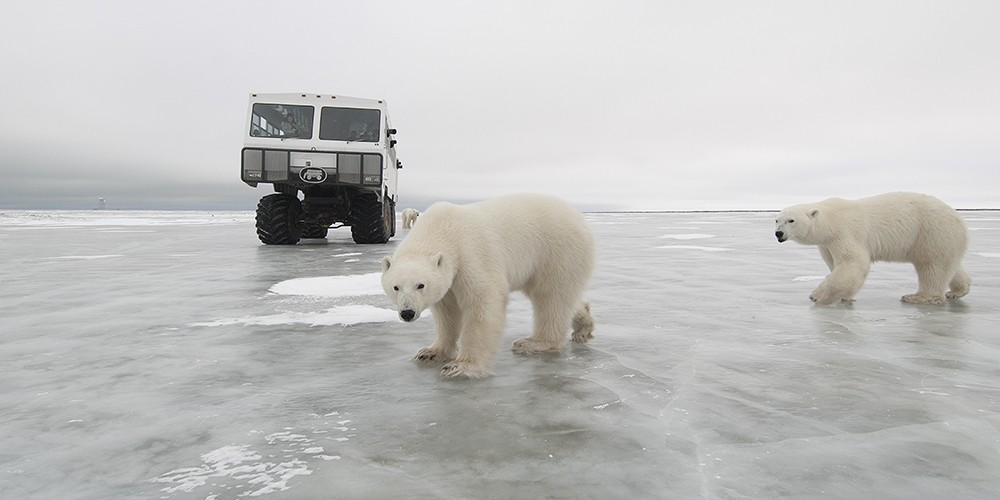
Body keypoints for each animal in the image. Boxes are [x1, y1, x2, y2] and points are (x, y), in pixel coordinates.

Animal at [381, 193, 596, 379]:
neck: (442, 229)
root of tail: (580, 219)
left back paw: (533, 342)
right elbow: (446, 311)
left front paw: (461, 366)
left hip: (557, 251)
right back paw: (583, 328)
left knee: (551, 297)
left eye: (421, 285)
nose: (407, 313)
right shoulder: (449, 279)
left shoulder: (470, 255)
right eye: (396, 287)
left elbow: (483, 303)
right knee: (561, 297)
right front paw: (430, 353)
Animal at [774, 191, 971, 305]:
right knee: (949, 265)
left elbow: (853, 262)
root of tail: (959, 218)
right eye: (777, 220)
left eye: (791, 220)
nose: (778, 233)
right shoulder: (828, 244)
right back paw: (956, 291)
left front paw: (817, 295)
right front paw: (845, 296)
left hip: (931, 231)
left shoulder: (846, 232)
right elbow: (834, 264)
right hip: (943, 239)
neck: (830, 221)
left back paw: (918, 297)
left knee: (932, 266)